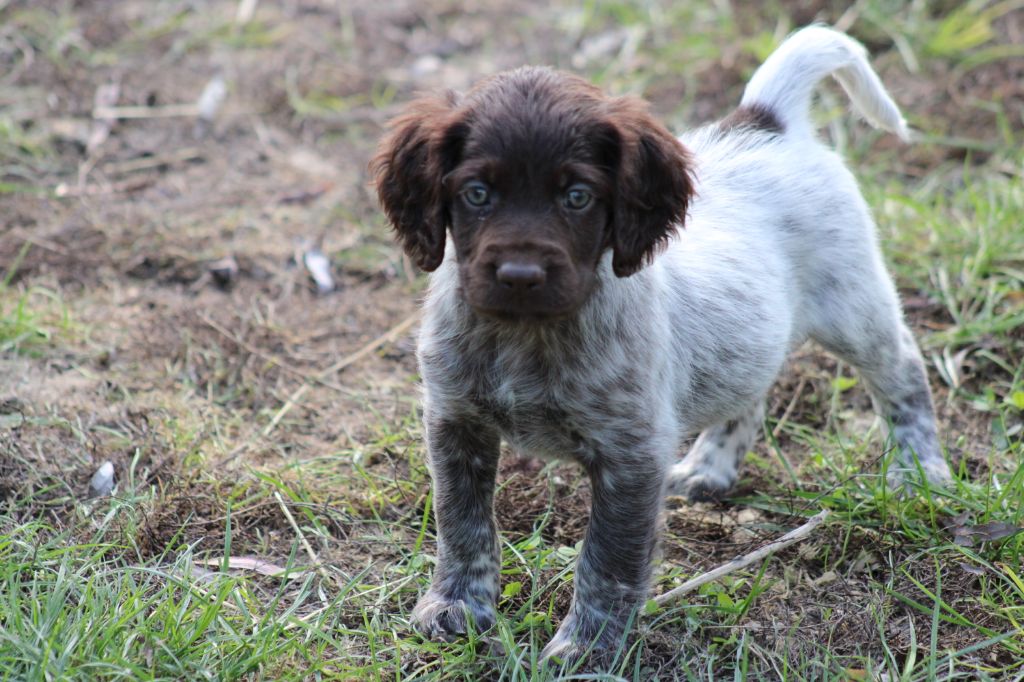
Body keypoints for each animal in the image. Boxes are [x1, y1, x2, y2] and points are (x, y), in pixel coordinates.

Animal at [371, 25, 952, 661]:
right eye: (477, 193)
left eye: (578, 197)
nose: (520, 275)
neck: (526, 332)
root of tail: (766, 122)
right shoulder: (455, 421)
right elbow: (463, 525)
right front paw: (456, 604)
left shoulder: (632, 454)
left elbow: (608, 561)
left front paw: (587, 648)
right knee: (750, 392)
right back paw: (710, 468)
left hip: (855, 308)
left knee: (903, 373)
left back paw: (920, 471)